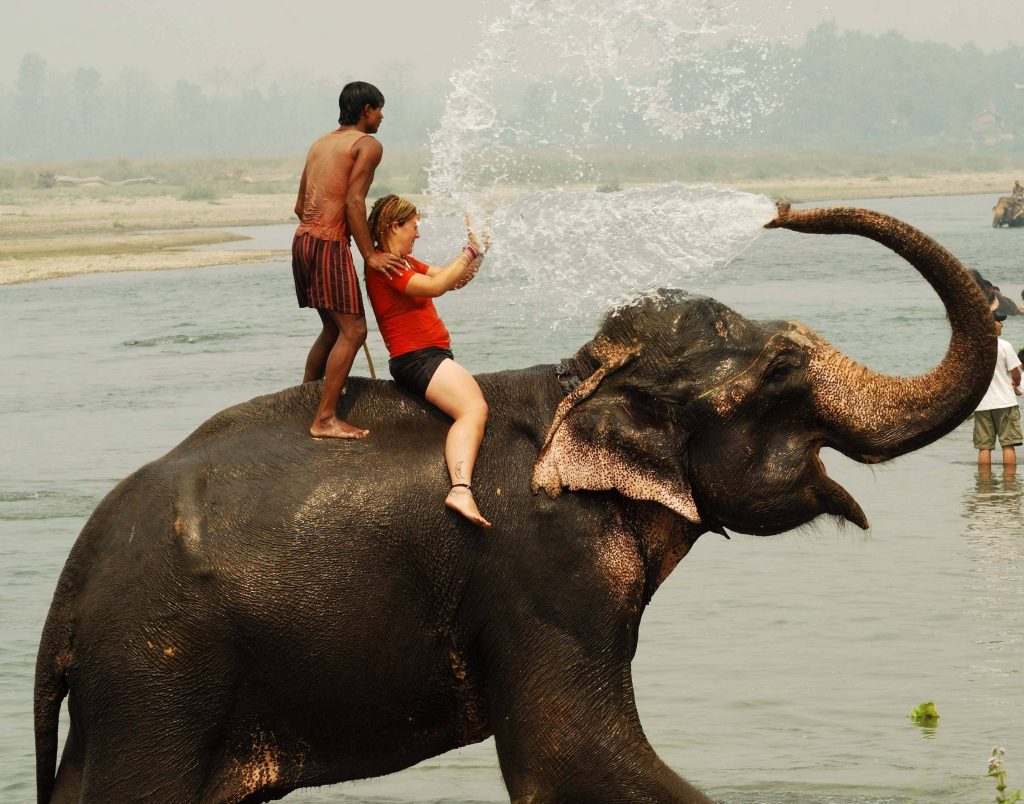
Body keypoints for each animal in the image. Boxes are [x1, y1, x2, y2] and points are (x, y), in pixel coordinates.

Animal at [35, 203, 996, 803]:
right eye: (783, 375)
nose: (783, 208)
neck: (579, 383)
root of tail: (73, 583)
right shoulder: (545, 567)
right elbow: (570, 757)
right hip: (160, 669)